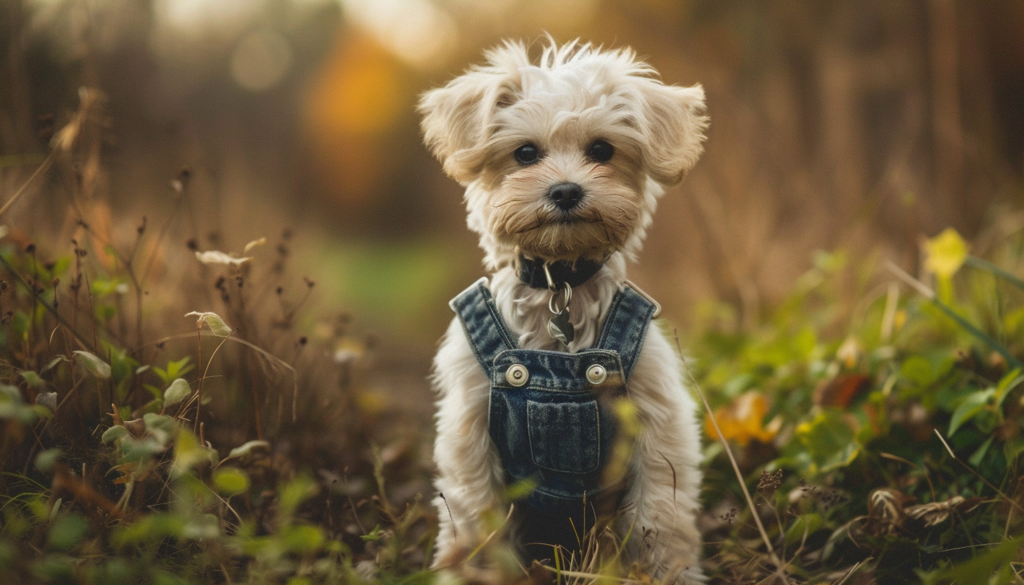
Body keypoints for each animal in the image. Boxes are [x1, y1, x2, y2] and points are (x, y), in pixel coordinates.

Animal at [419, 38, 708, 581]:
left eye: (602, 150)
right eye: (525, 153)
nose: (567, 190)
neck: (560, 286)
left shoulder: (660, 422)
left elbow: (659, 517)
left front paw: (665, 572)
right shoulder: (469, 429)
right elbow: (476, 520)